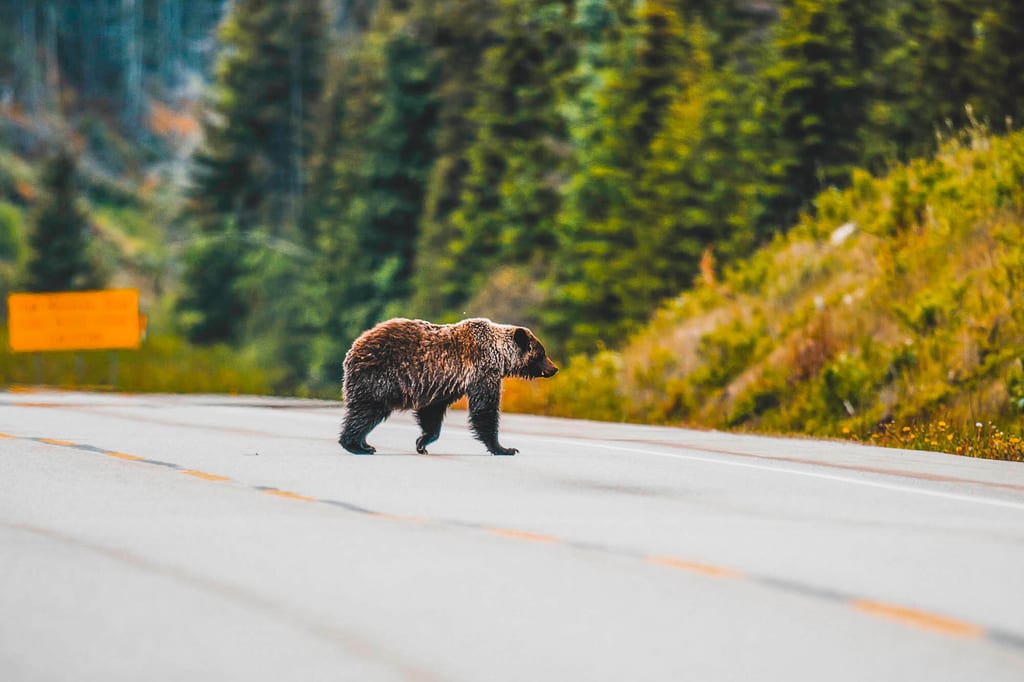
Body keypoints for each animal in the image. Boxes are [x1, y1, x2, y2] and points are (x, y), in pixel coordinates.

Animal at [339, 318, 558, 456]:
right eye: (541, 353)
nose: (554, 368)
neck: (500, 355)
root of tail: (353, 348)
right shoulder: (481, 371)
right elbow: (484, 410)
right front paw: (504, 448)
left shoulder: (446, 383)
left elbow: (432, 412)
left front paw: (422, 442)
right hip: (379, 376)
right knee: (367, 410)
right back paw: (356, 445)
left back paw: (363, 443)